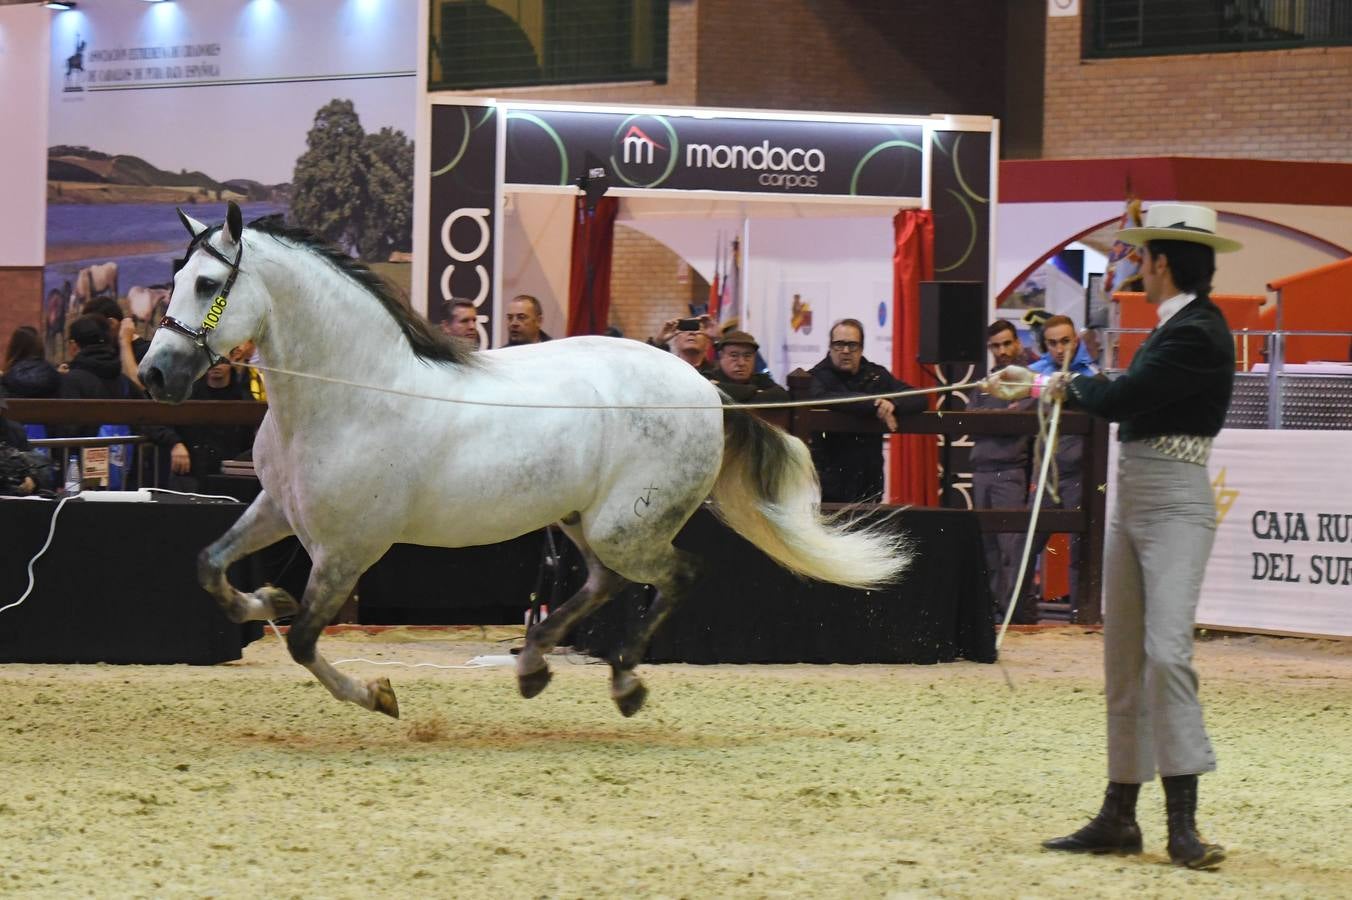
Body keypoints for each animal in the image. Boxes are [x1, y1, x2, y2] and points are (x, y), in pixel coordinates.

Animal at [139, 201, 908, 713]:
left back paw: (624, 679)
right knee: (603, 583)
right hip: (581, 520)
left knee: (676, 576)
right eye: (175, 277)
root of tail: (709, 389)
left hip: (626, 525)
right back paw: (536, 666)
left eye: (207, 284)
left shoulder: (347, 549)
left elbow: (302, 640)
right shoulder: (278, 509)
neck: (353, 390)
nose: (152, 374)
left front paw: (378, 693)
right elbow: (209, 567)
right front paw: (264, 597)